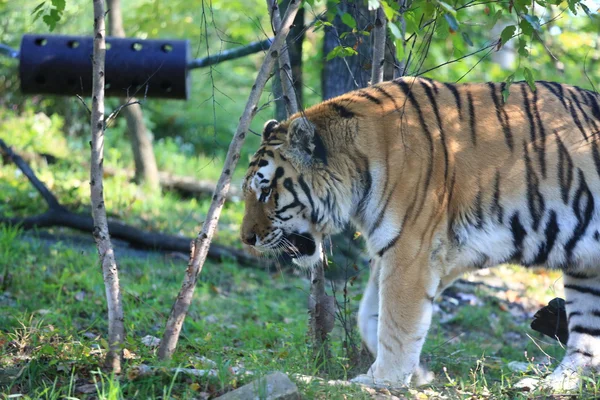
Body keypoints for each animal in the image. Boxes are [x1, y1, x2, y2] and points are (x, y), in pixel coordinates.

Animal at [239, 76, 600, 390]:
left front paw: (383, 380)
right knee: (585, 340)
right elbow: (370, 315)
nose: (246, 239)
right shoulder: (403, 250)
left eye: (266, 191)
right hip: (587, 272)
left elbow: (397, 320)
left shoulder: (412, 250)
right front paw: (417, 374)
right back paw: (553, 385)